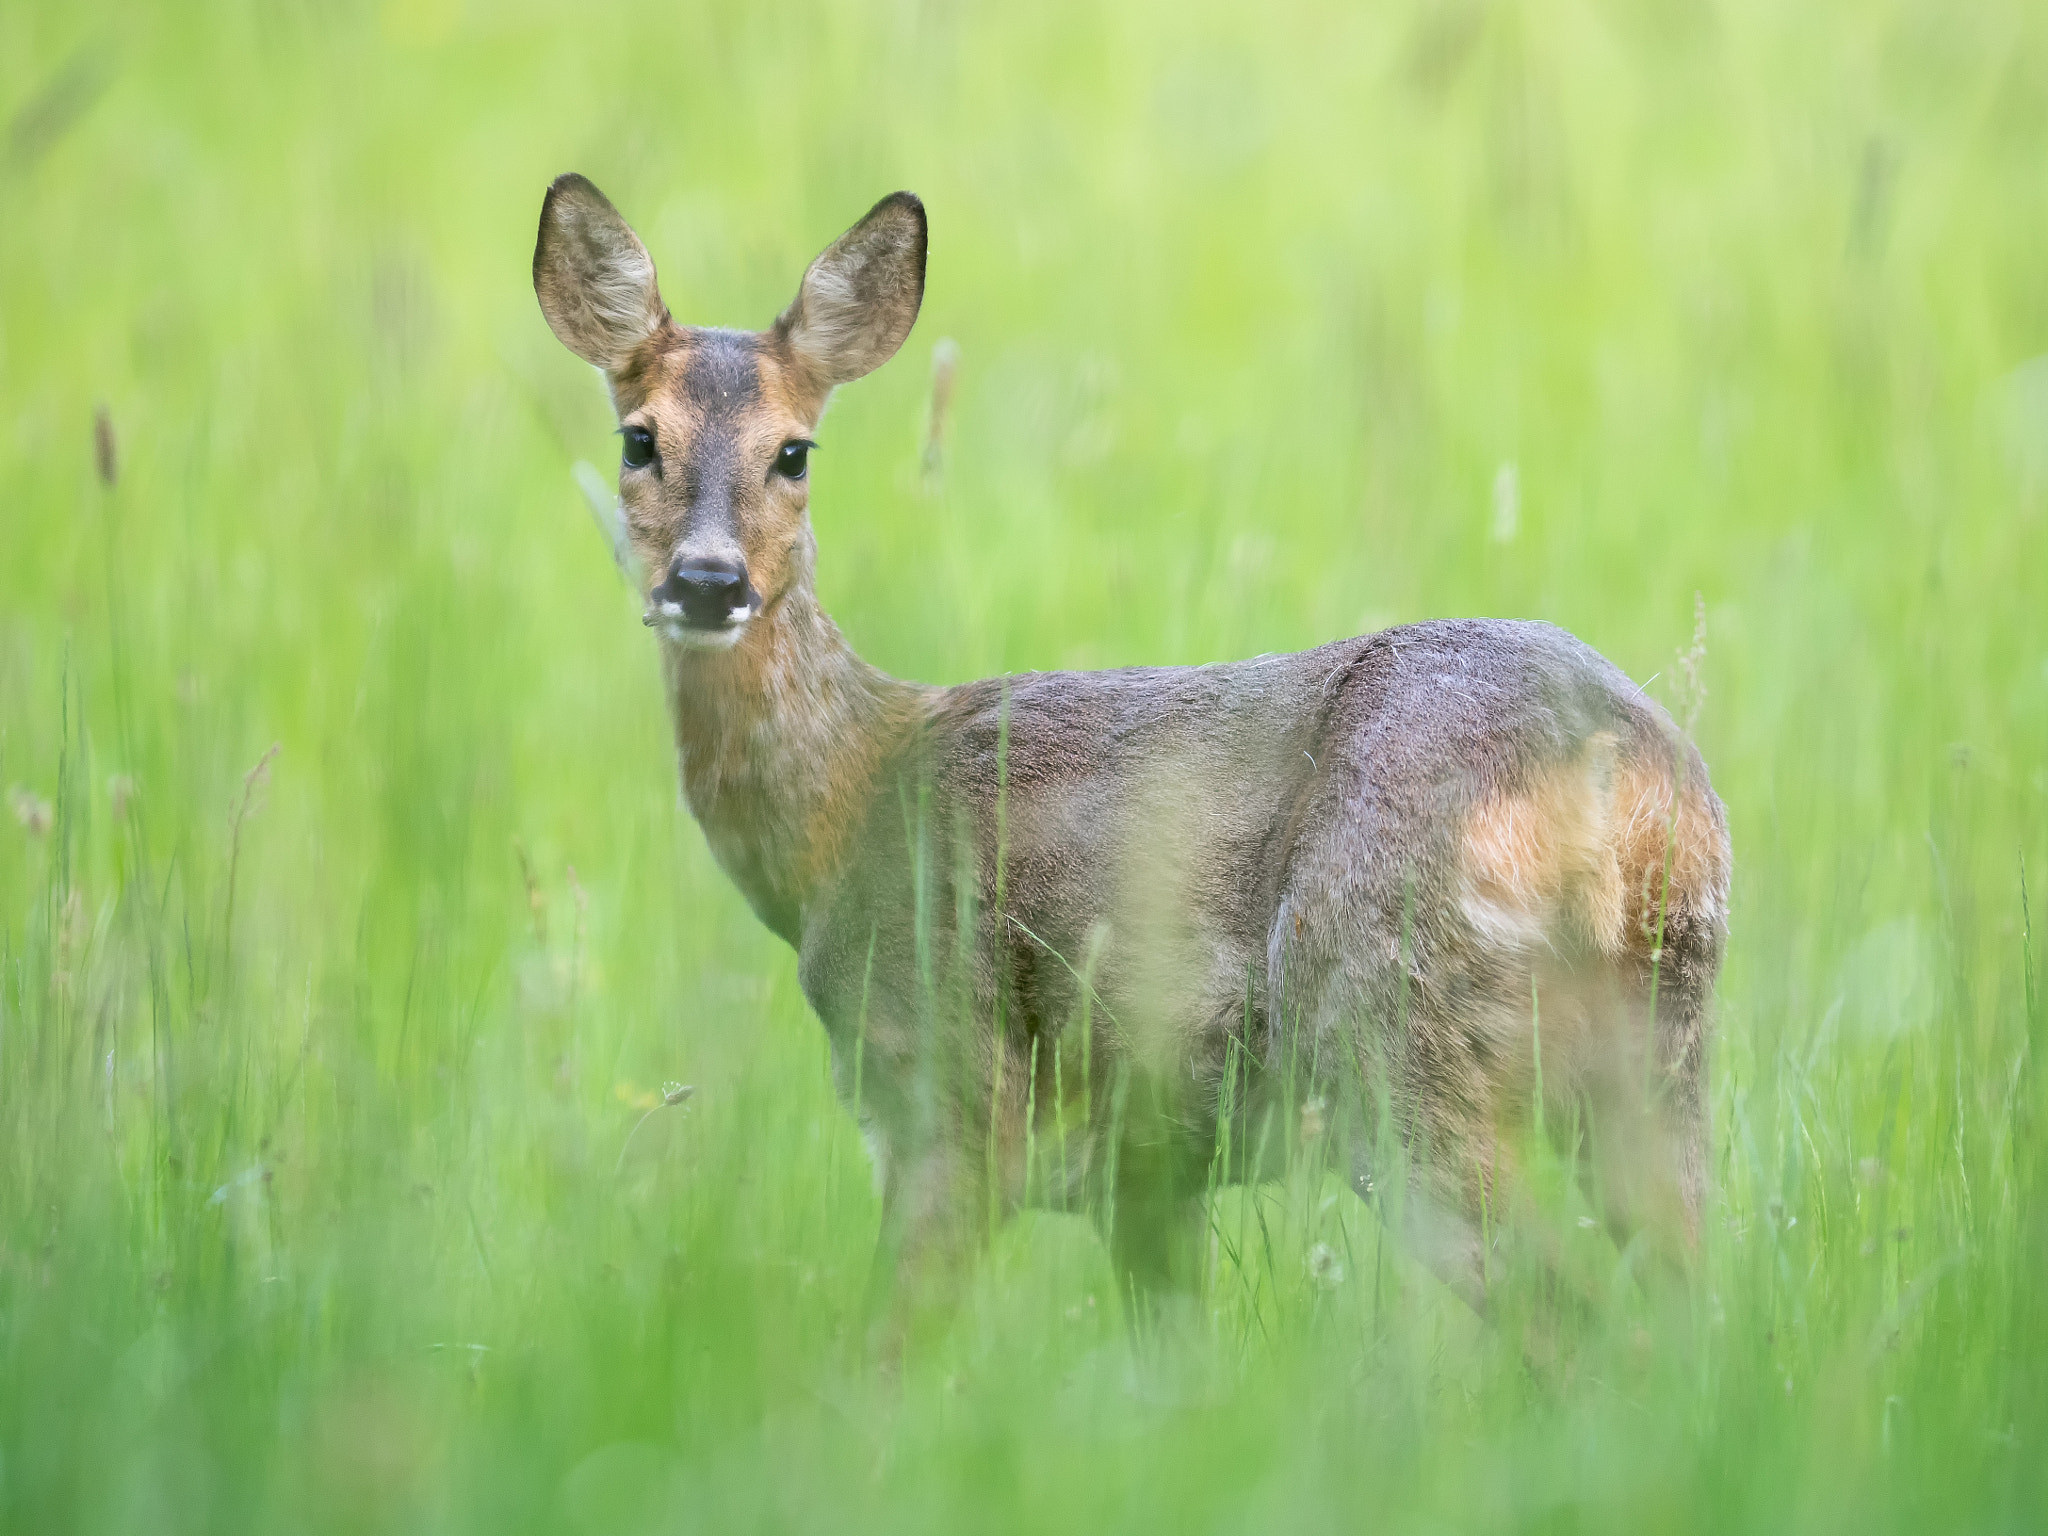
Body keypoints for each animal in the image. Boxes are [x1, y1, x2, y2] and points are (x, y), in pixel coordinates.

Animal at [536, 177, 1736, 1343]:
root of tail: (1615, 776)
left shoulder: (949, 1093)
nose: (706, 583)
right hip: (1656, 1053)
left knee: (1574, 1319)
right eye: (638, 439)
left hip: (1384, 1031)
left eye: (794, 451)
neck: (842, 812)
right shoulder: (1146, 1177)